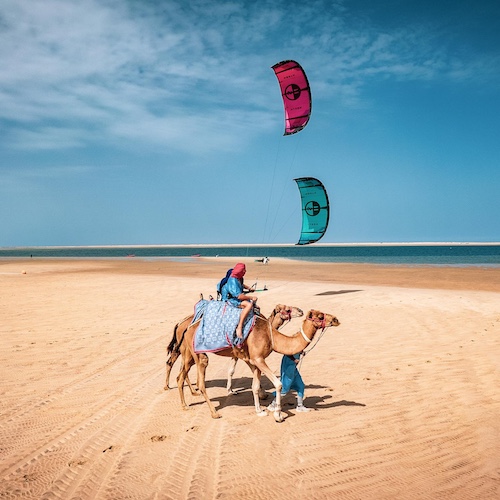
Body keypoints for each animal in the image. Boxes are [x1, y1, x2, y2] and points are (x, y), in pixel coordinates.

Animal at [166, 304, 302, 394]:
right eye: (287, 309)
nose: (300, 310)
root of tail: (180, 324)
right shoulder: (245, 353)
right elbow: (239, 369)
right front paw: (260, 392)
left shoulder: (235, 354)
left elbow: (231, 370)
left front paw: (230, 390)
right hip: (185, 347)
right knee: (176, 363)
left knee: (177, 364)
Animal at [177, 308, 340, 422]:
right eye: (320, 316)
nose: (336, 319)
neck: (271, 336)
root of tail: (187, 327)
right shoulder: (259, 359)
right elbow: (278, 384)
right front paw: (278, 415)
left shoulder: (254, 361)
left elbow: (255, 386)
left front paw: (259, 411)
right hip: (198, 353)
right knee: (200, 381)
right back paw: (214, 413)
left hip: (189, 353)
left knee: (181, 376)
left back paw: (184, 405)